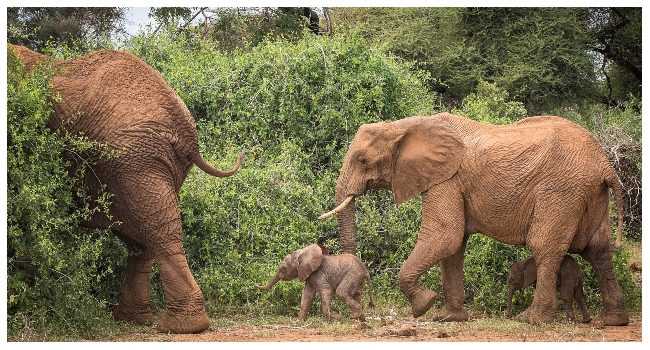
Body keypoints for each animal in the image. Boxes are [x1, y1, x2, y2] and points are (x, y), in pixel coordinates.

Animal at [9, 44, 243, 334]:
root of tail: (187, 133)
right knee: (143, 237)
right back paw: (132, 319)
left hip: (134, 159)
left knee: (158, 231)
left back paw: (181, 326)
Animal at [318, 112, 628, 326]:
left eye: (362, 160)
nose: (361, 311)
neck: (406, 126)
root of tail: (605, 164)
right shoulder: (447, 180)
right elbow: (453, 246)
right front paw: (448, 317)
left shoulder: (446, 179)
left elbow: (444, 234)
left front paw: (424, 305)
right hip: (589, 193)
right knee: (598, 250)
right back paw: (613, 321)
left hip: (562, 191)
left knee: (545, 247)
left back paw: (531, 319)